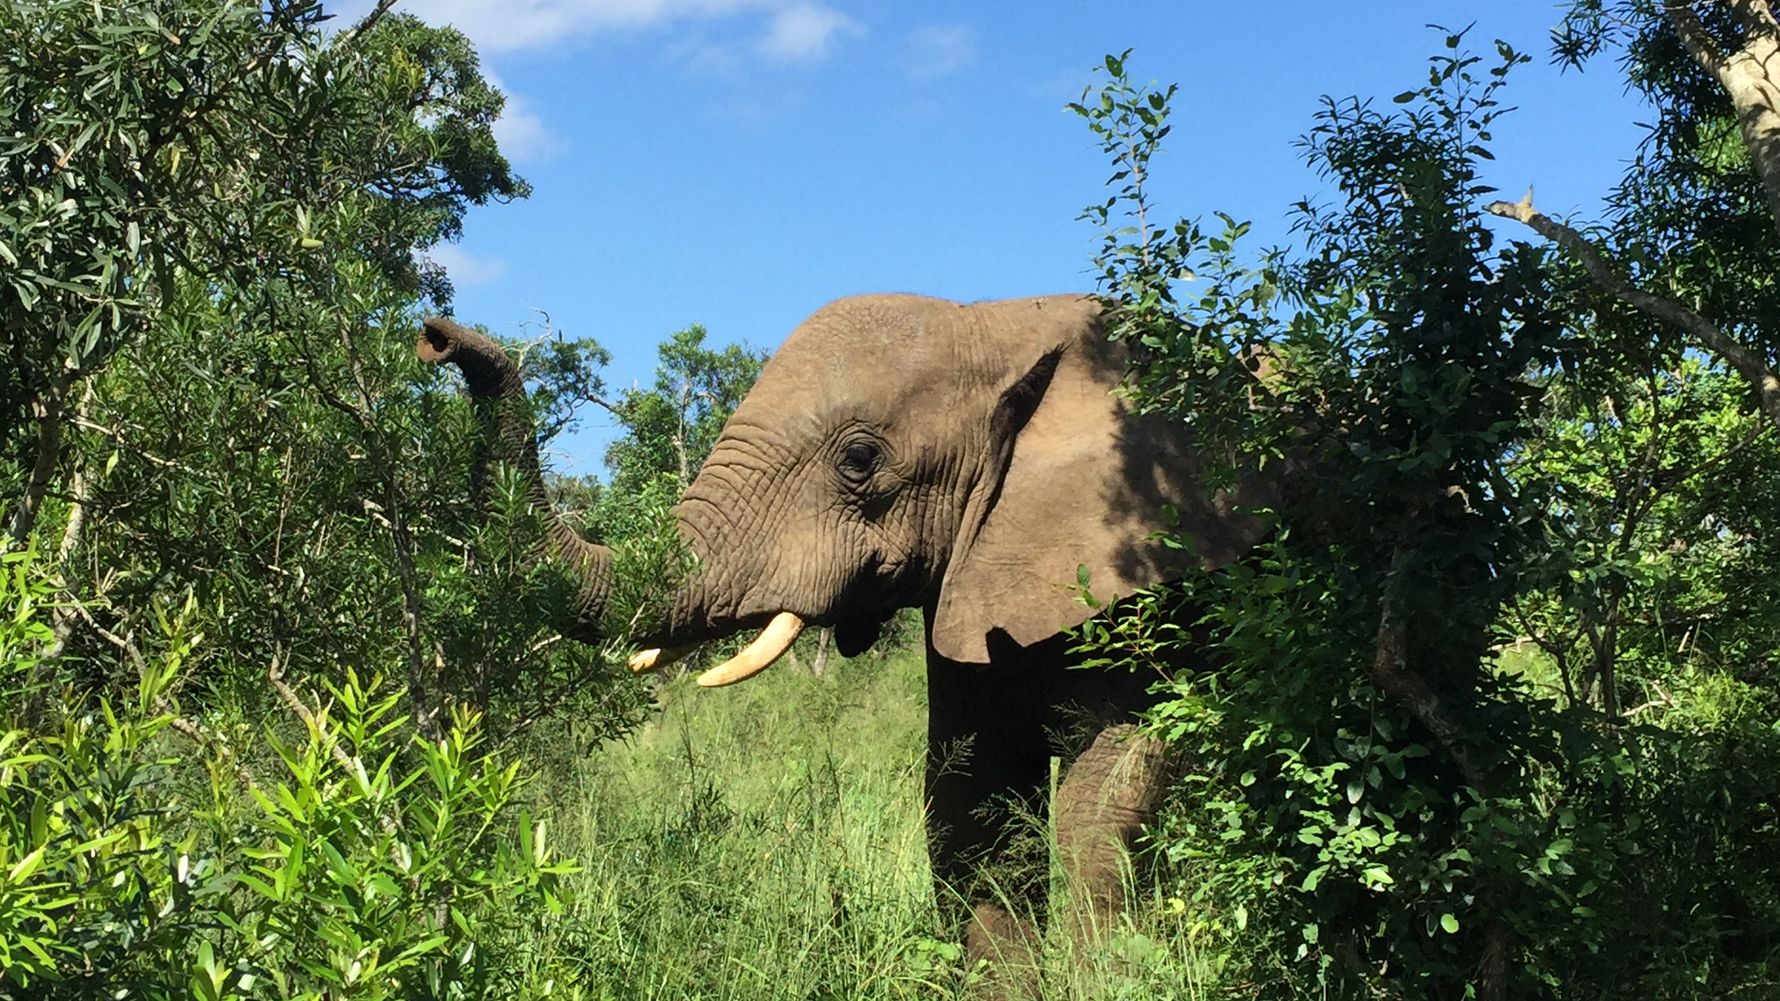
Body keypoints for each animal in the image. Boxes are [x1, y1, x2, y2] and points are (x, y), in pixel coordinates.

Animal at [418, 293, 1270, 984]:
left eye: (859, 458)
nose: (436, 335)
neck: (1003, 323)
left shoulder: (1156, 576)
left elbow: (1103, 806)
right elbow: (971, 810)